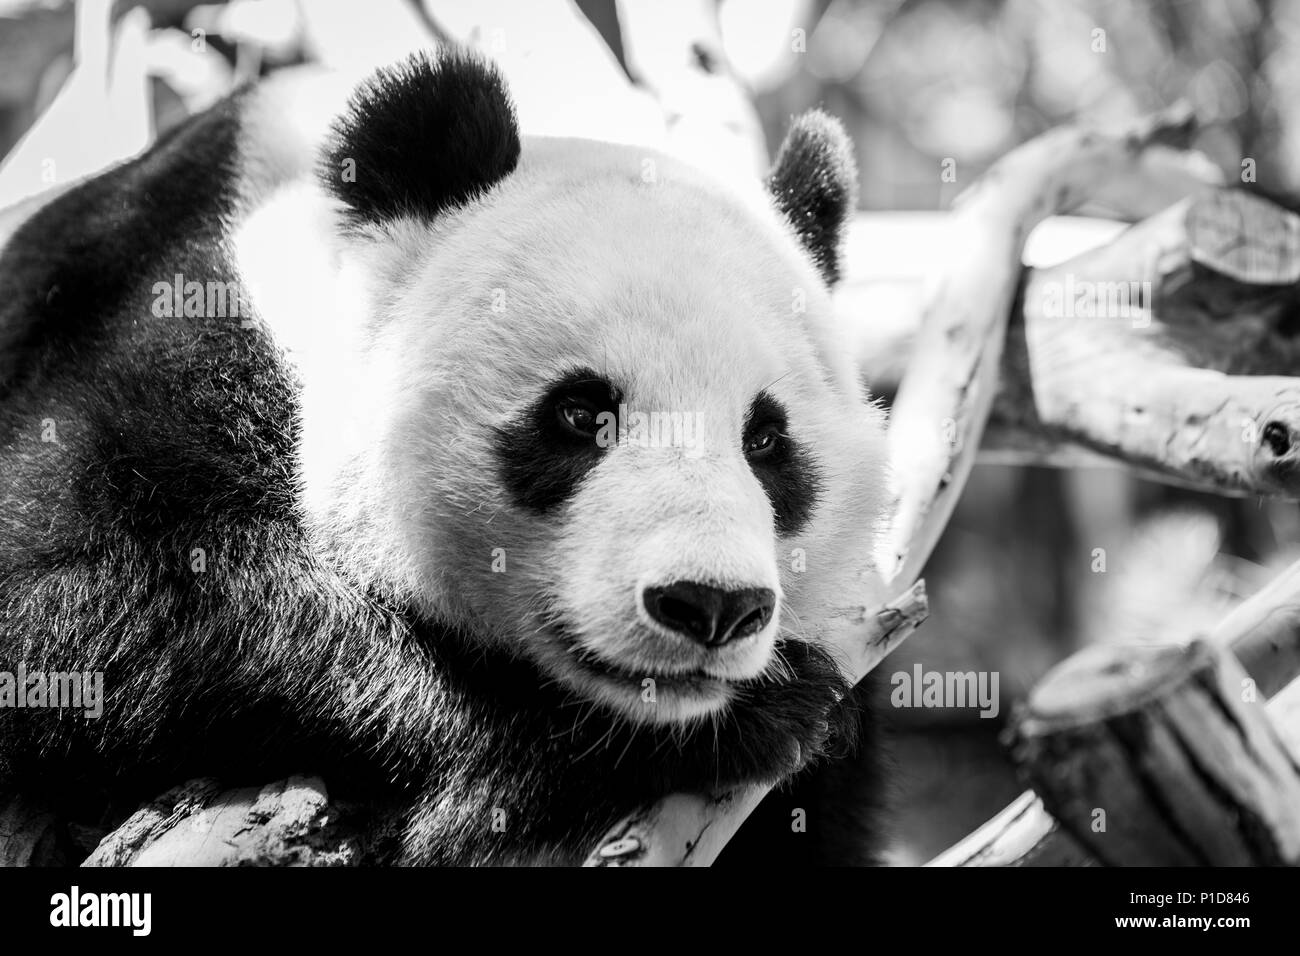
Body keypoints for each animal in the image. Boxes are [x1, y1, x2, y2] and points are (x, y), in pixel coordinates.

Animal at [0, 48, 894, 863]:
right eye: (579, 414)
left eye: (767, 440)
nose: (710, 606)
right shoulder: (165, 309)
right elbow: (70, 600)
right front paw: (720, 727)